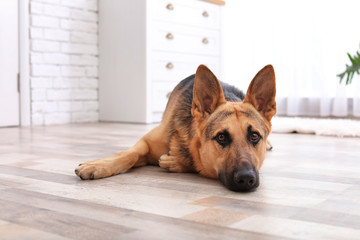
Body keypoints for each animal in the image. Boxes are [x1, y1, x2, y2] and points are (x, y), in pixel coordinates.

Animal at [74, 64, 276, 192]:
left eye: (254, 136)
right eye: (221, 137)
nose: (246, 178)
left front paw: (175, 161)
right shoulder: (146, 143)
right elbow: (128, 155)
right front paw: (99, 165)